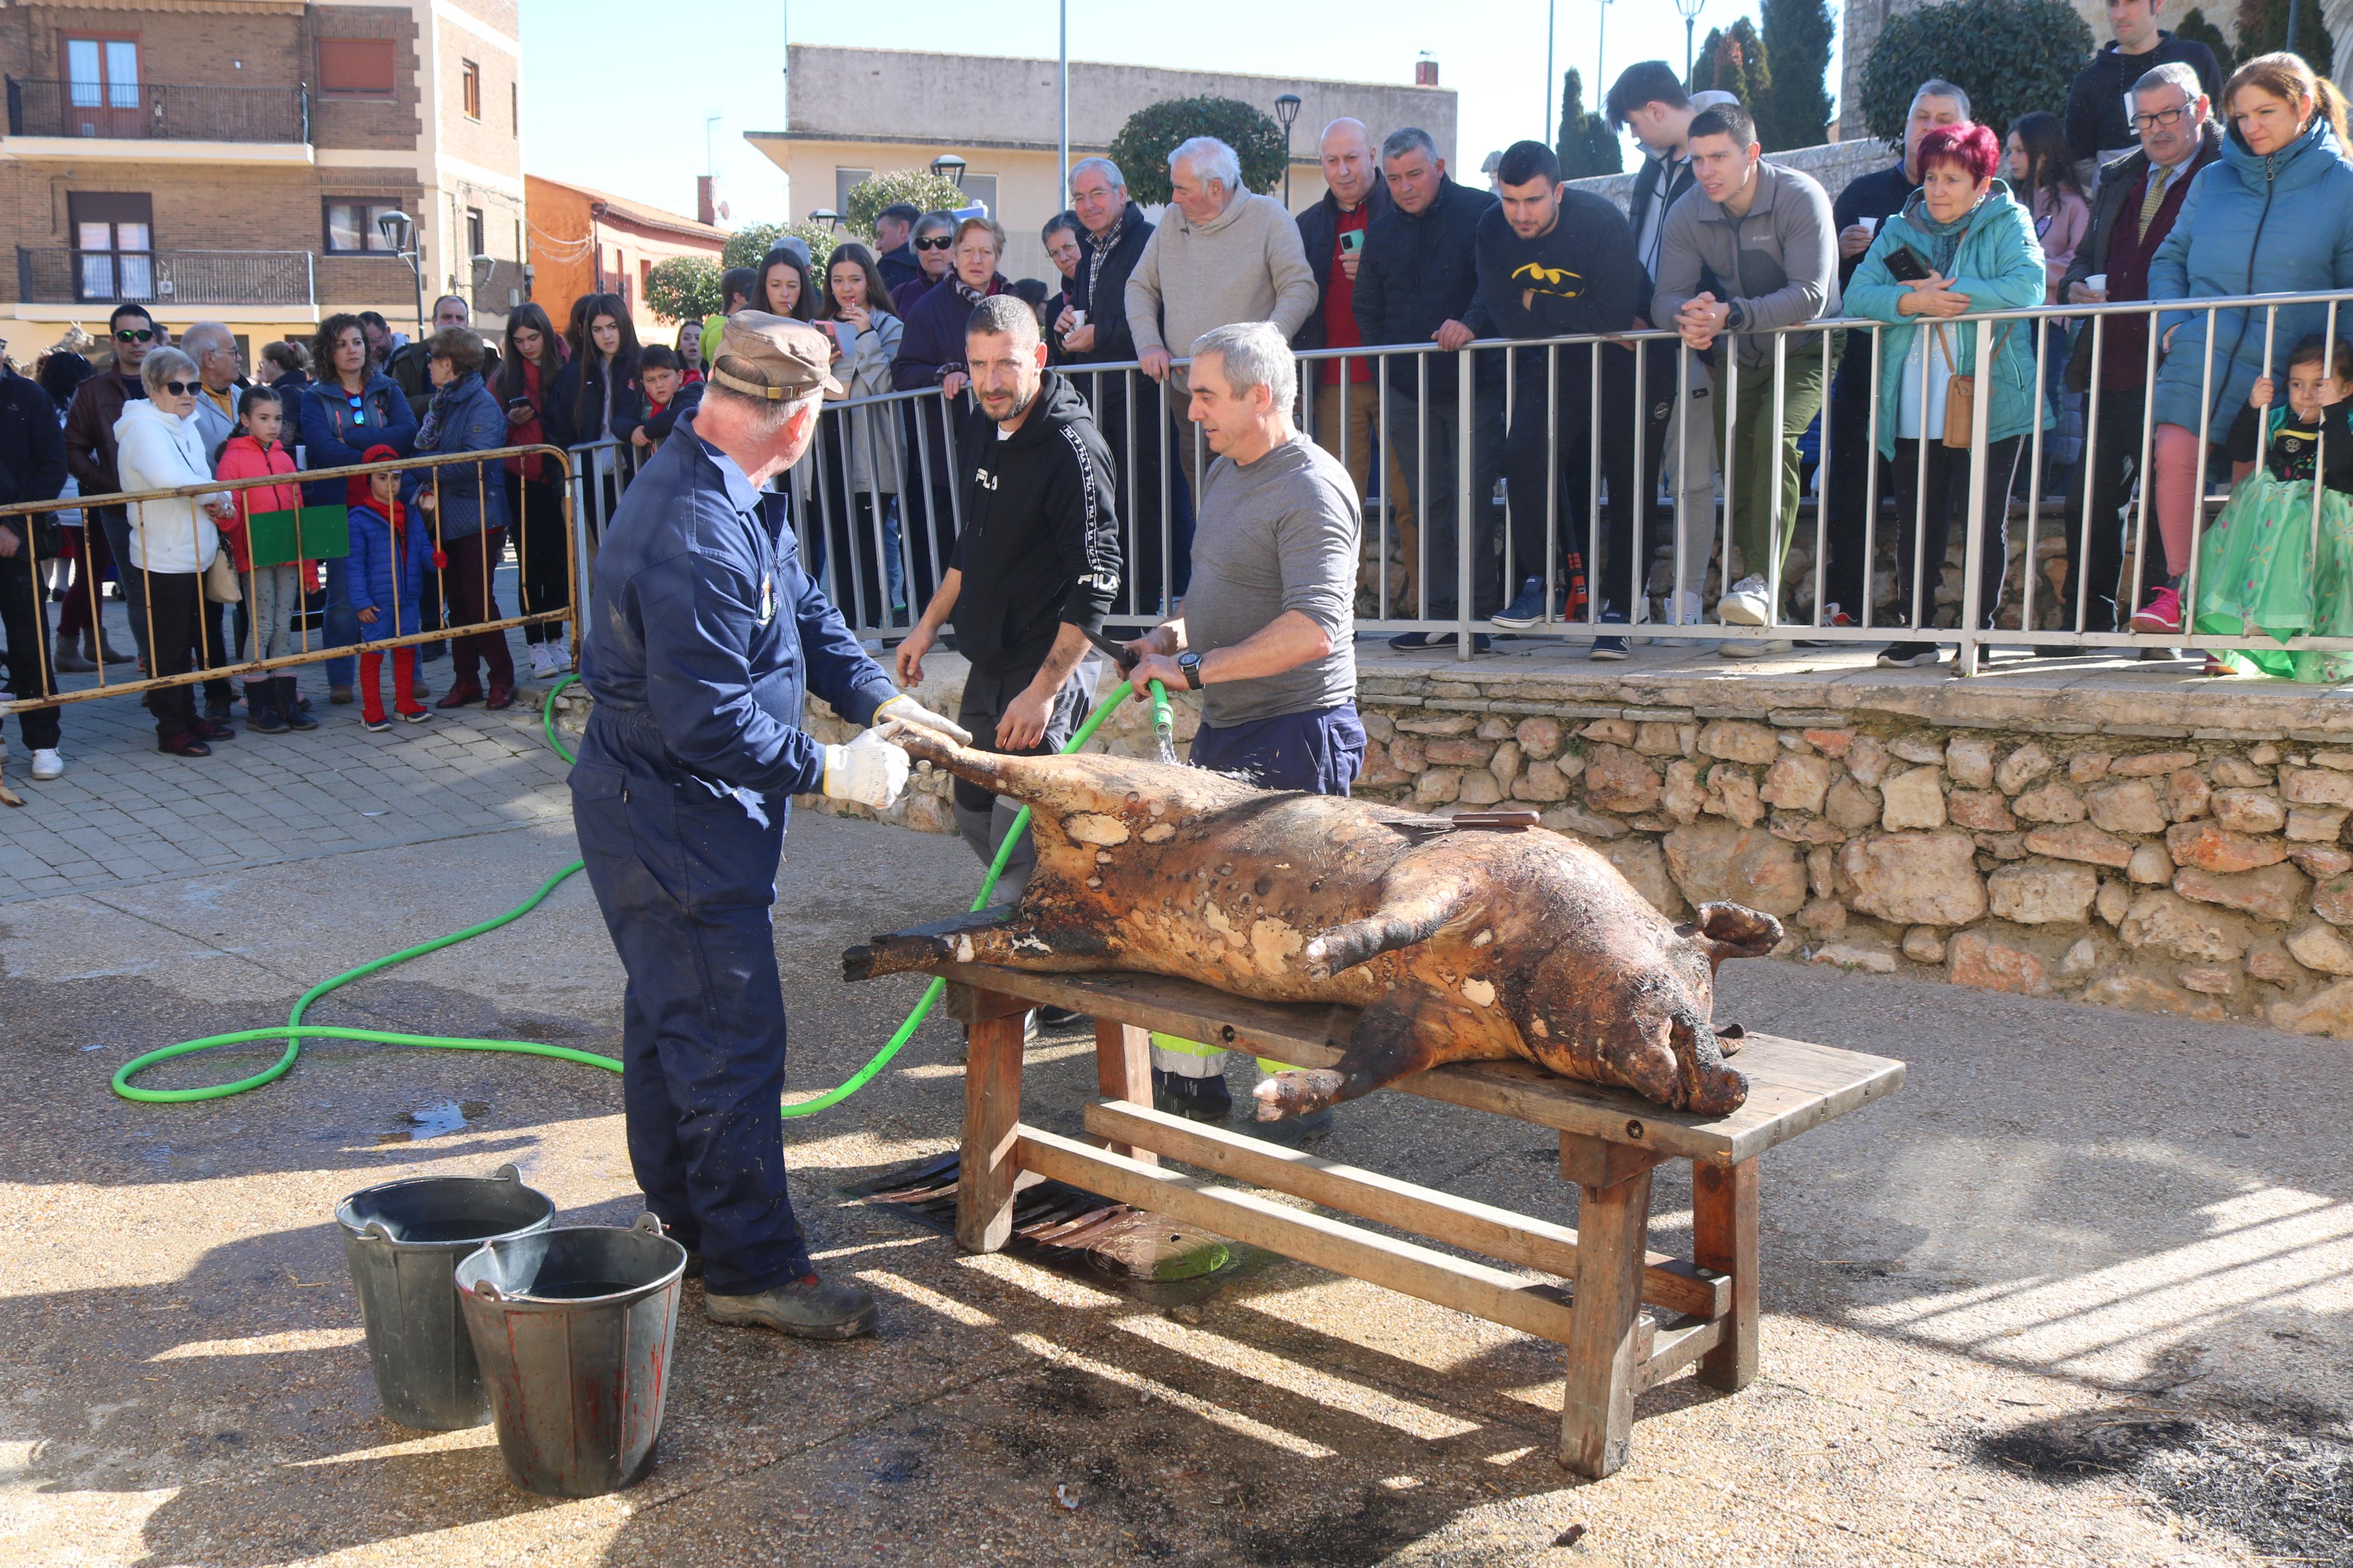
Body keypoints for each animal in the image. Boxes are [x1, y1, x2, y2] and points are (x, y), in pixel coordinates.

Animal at [847, 728, 1779, 1123]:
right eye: (1686, 979)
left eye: (1717, 1014)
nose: (1729, 1083)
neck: (1513, 964)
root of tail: (1050, 865)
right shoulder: (1453, 874)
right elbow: (1392, 920)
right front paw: (1323, 950)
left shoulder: (1423, 1028)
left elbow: (1357, 1072)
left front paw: (1274, 1101)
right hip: (1100, 779)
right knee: (998, 763)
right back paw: (904, 739)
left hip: (1063, 940)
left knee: (963, 939)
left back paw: (862, 956)